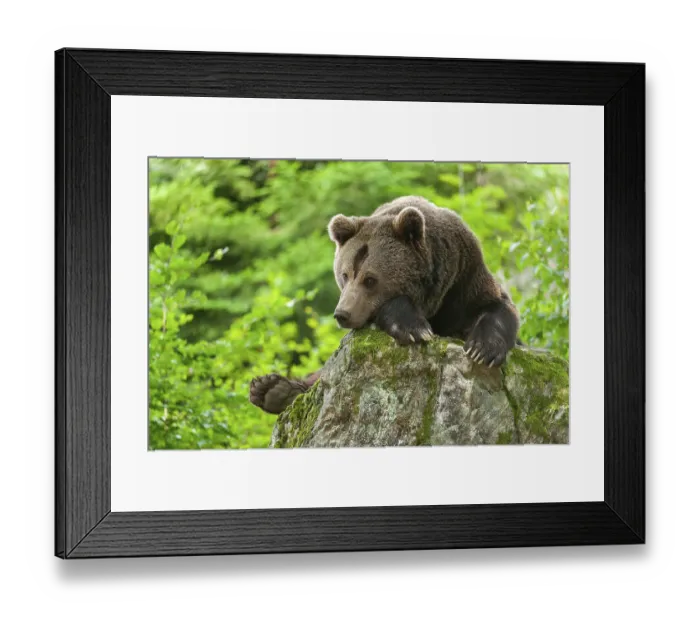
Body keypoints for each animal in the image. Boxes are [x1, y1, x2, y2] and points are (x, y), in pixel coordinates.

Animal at [249, 195, 520, 414]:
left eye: (370, 279)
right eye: (345, 274)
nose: (342, 314)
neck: (433, 301)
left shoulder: (463, 278)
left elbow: (498, 307)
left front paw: (482, 349)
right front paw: (413, 328)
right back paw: (271, 389)